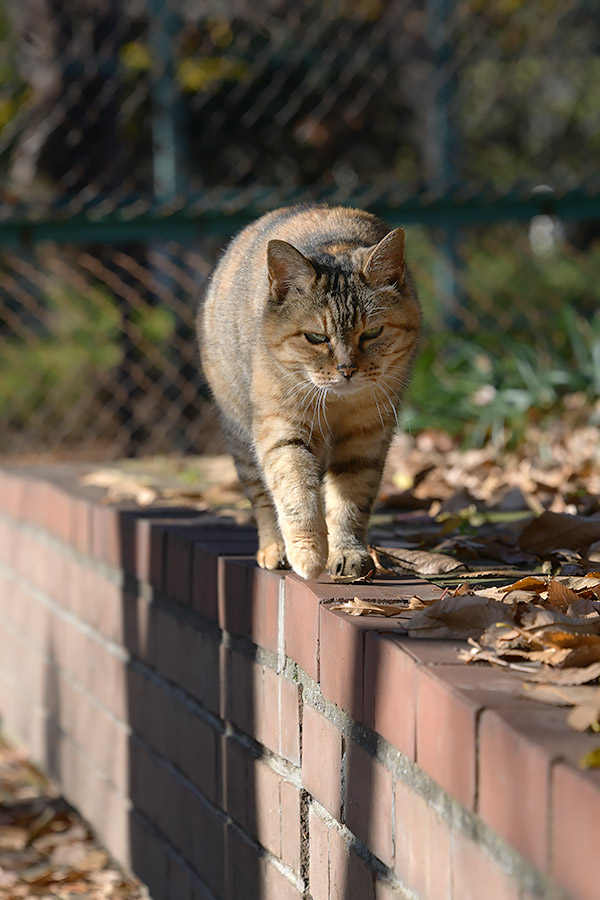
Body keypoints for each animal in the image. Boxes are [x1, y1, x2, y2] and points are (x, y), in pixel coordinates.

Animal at [198, 205, 422, 580]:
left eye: (372, 333)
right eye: (316, 338)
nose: (347, 369)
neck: (335, 402)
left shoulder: (366, 436)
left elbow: (350, 500)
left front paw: (347, 552)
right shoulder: (282, 430)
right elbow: (295, 492)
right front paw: (308, 553)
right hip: (241, 432)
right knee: (262, 497)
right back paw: (274, 549)